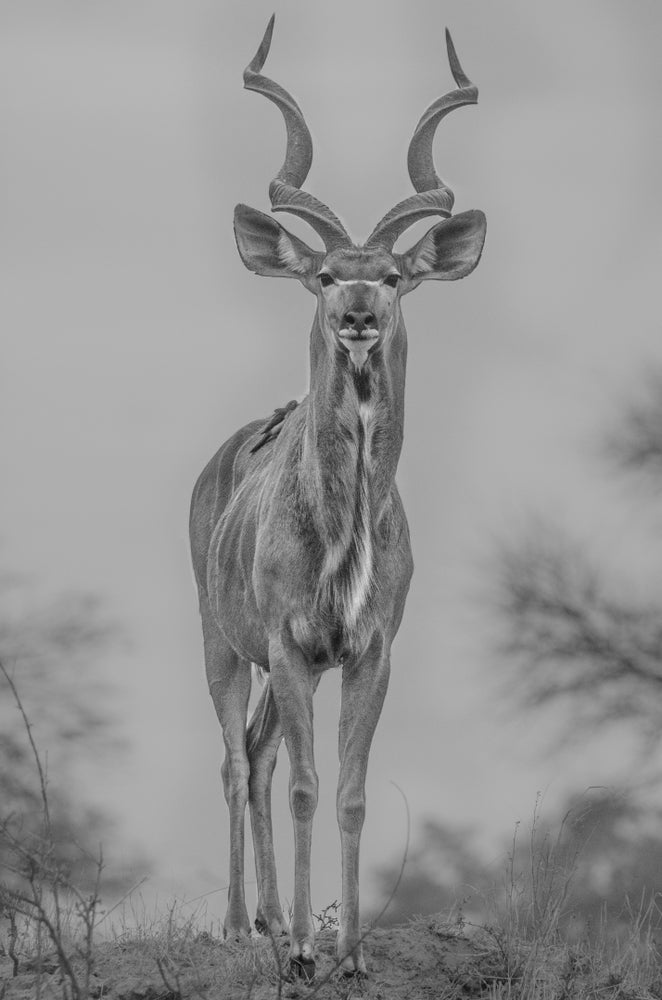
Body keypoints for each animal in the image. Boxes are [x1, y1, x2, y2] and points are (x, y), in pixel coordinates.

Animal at [192, 17, 488, 976]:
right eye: (323, 275)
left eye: (393, 275)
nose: (358, 314)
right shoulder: (287, 648)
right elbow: (307, 786)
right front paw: (302, 951)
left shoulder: (368, 652)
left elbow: (351, 791)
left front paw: (351, 953)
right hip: (222, 645)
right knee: (236, 761)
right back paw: (244, 926)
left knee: (255, 757)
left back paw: (271, 920)